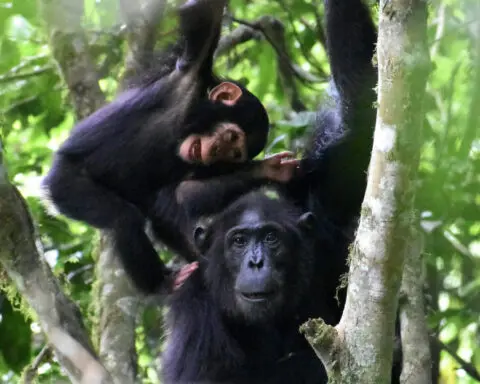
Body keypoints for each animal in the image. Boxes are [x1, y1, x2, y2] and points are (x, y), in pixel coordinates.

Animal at [41, 0, 298, 294]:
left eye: (234, 154)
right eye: (232, 137)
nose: (216, 151)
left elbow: (186, 192)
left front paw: (271, 169)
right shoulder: (190, 77)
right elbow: (205, 19)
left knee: (160, 214)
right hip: (64, 183)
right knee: (123, 218)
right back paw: (160, 283)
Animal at [160, 0, 402, 380]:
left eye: (271, 238)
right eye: (239, 241)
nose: (256, 261)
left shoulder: (327, 217)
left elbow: (361, 117)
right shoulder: (193, 306)